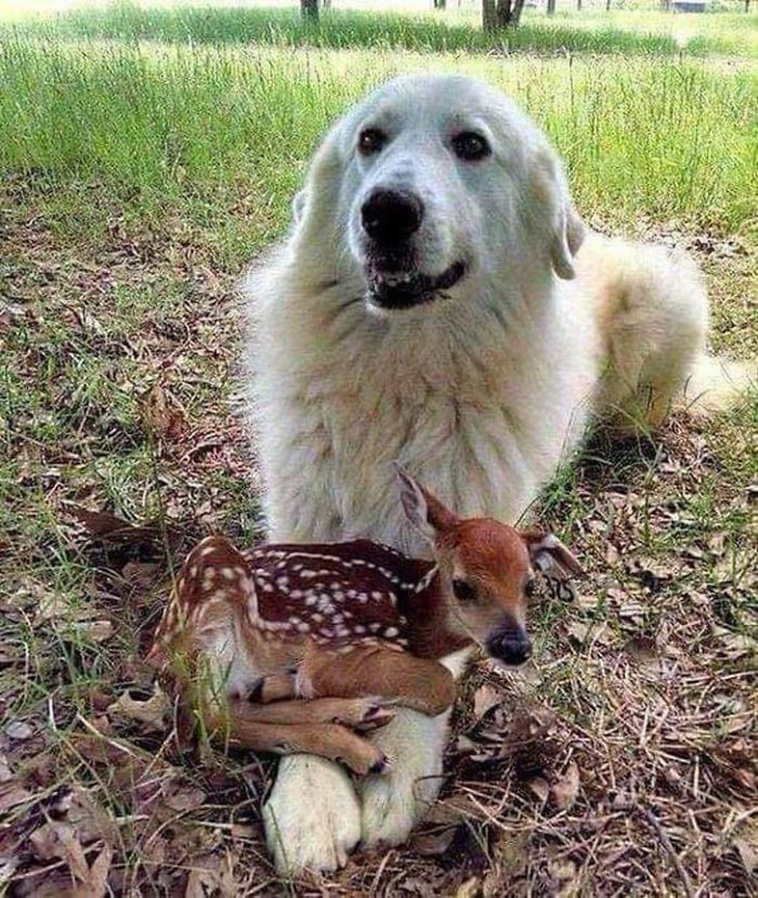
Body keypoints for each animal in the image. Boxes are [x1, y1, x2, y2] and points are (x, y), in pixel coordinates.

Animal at [148, 465, 582, 775]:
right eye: (462, 586)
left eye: (529, 585)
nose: (515, 646)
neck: (411, 614)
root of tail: (156, 647)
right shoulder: (338, 647)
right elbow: (440, 685)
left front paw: (281, 687)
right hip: (212, 586)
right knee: (208, 716)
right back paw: (358, 746)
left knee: (227, 707)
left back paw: (350, 715)